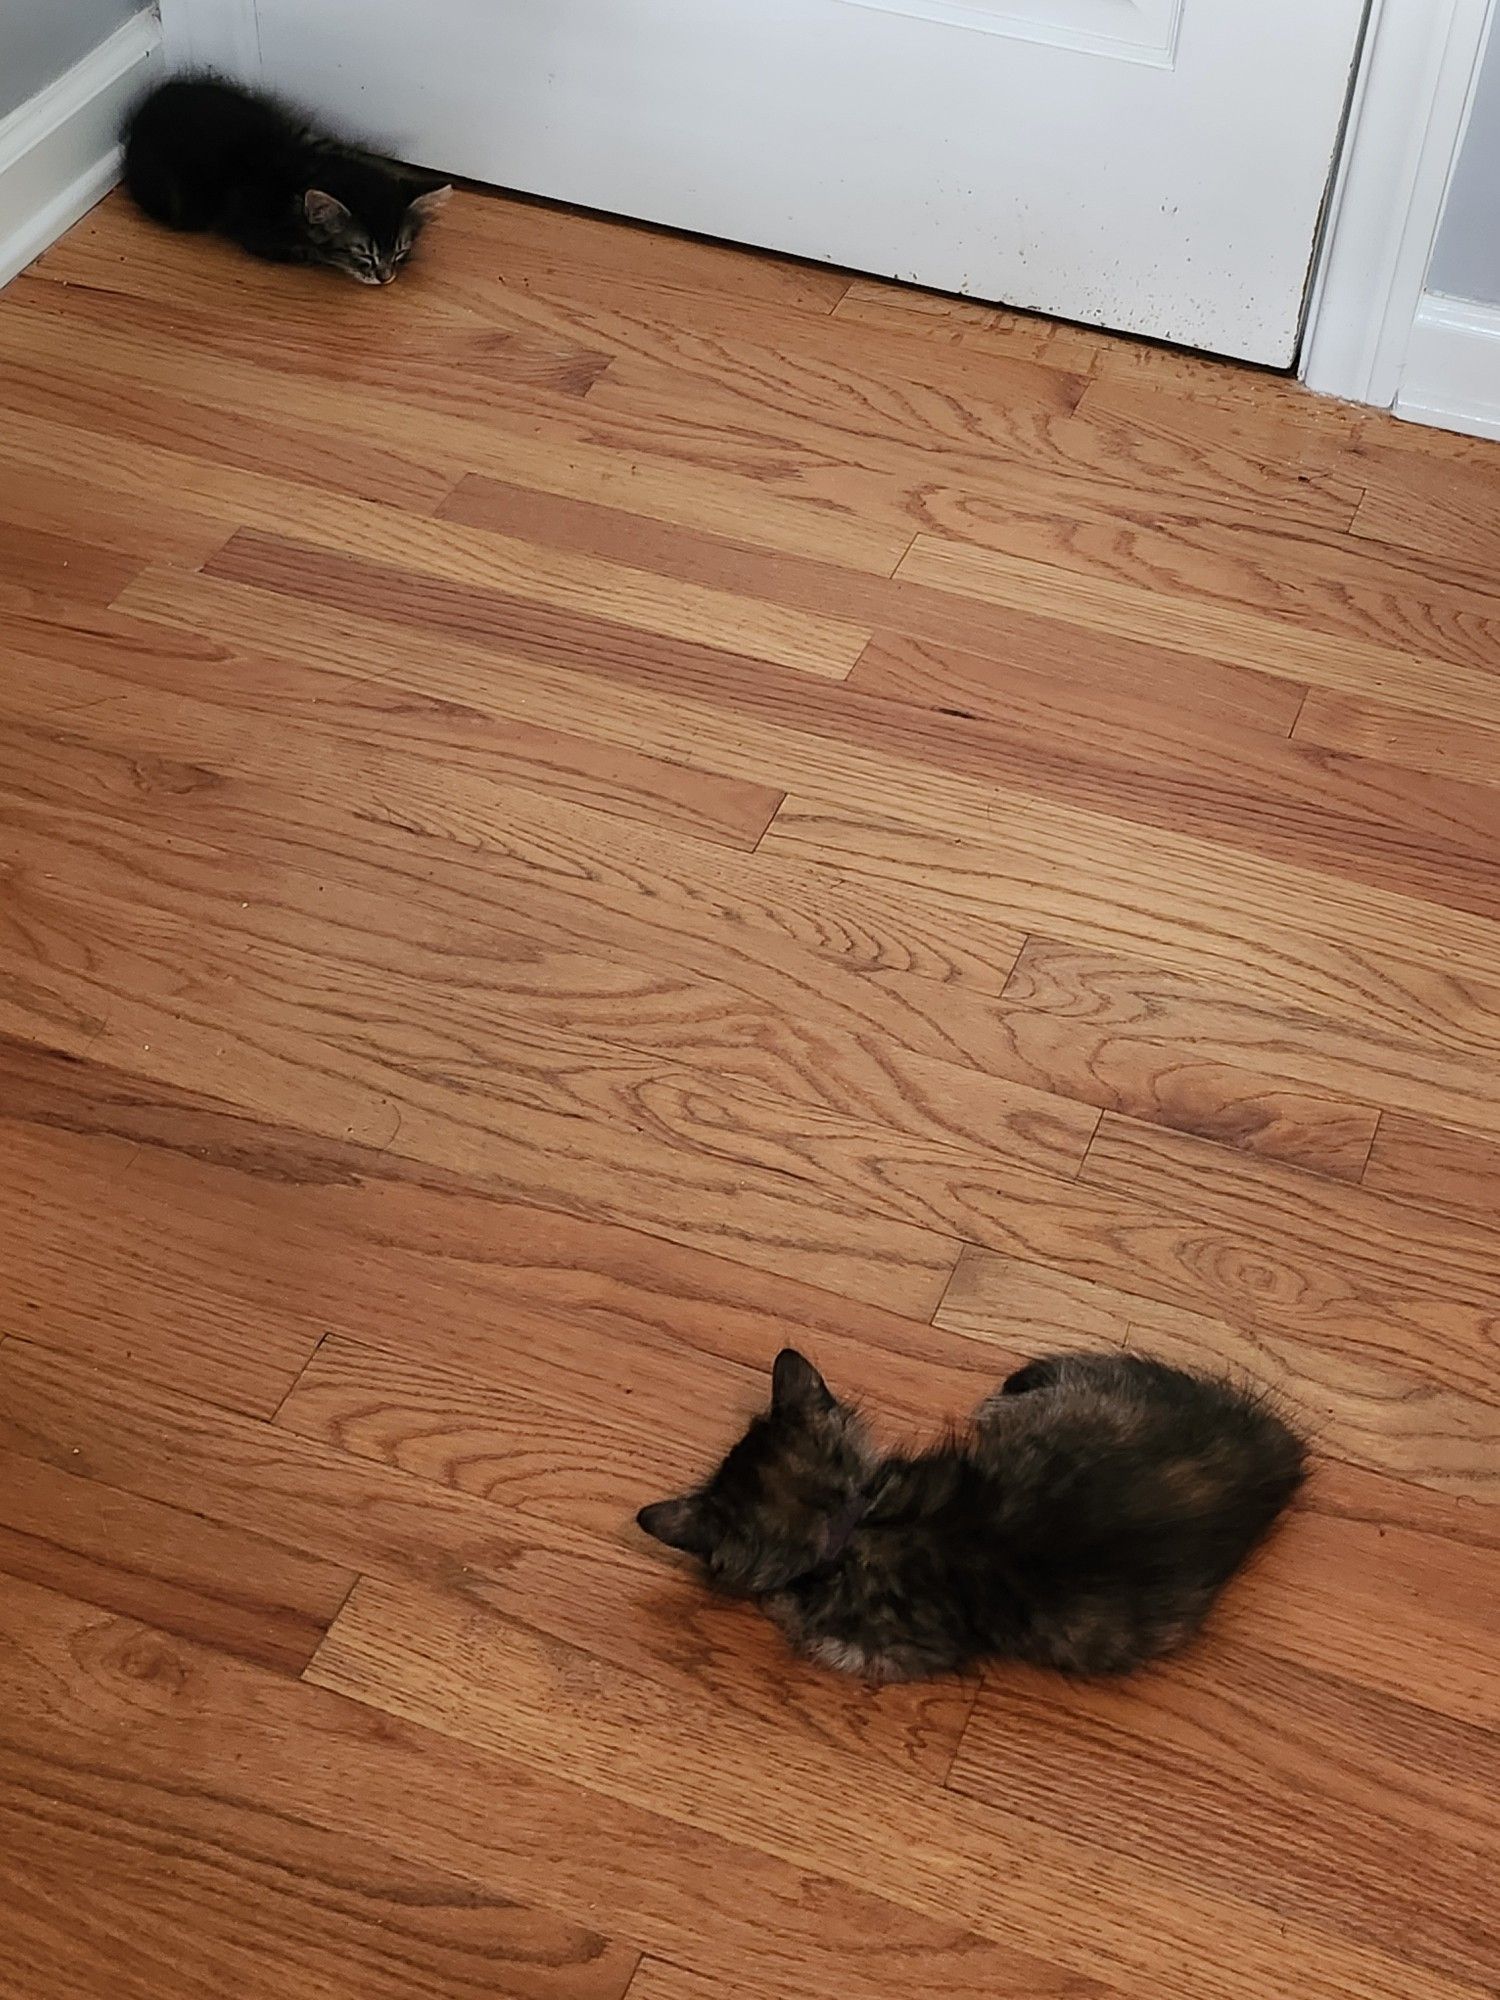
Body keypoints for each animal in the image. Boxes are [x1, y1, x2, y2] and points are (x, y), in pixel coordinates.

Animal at [122, 78, 452, 284]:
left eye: (399, 250)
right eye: (363, 254)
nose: (386, 277)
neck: (306, 170)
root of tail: (143, 114)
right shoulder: (256, 231)